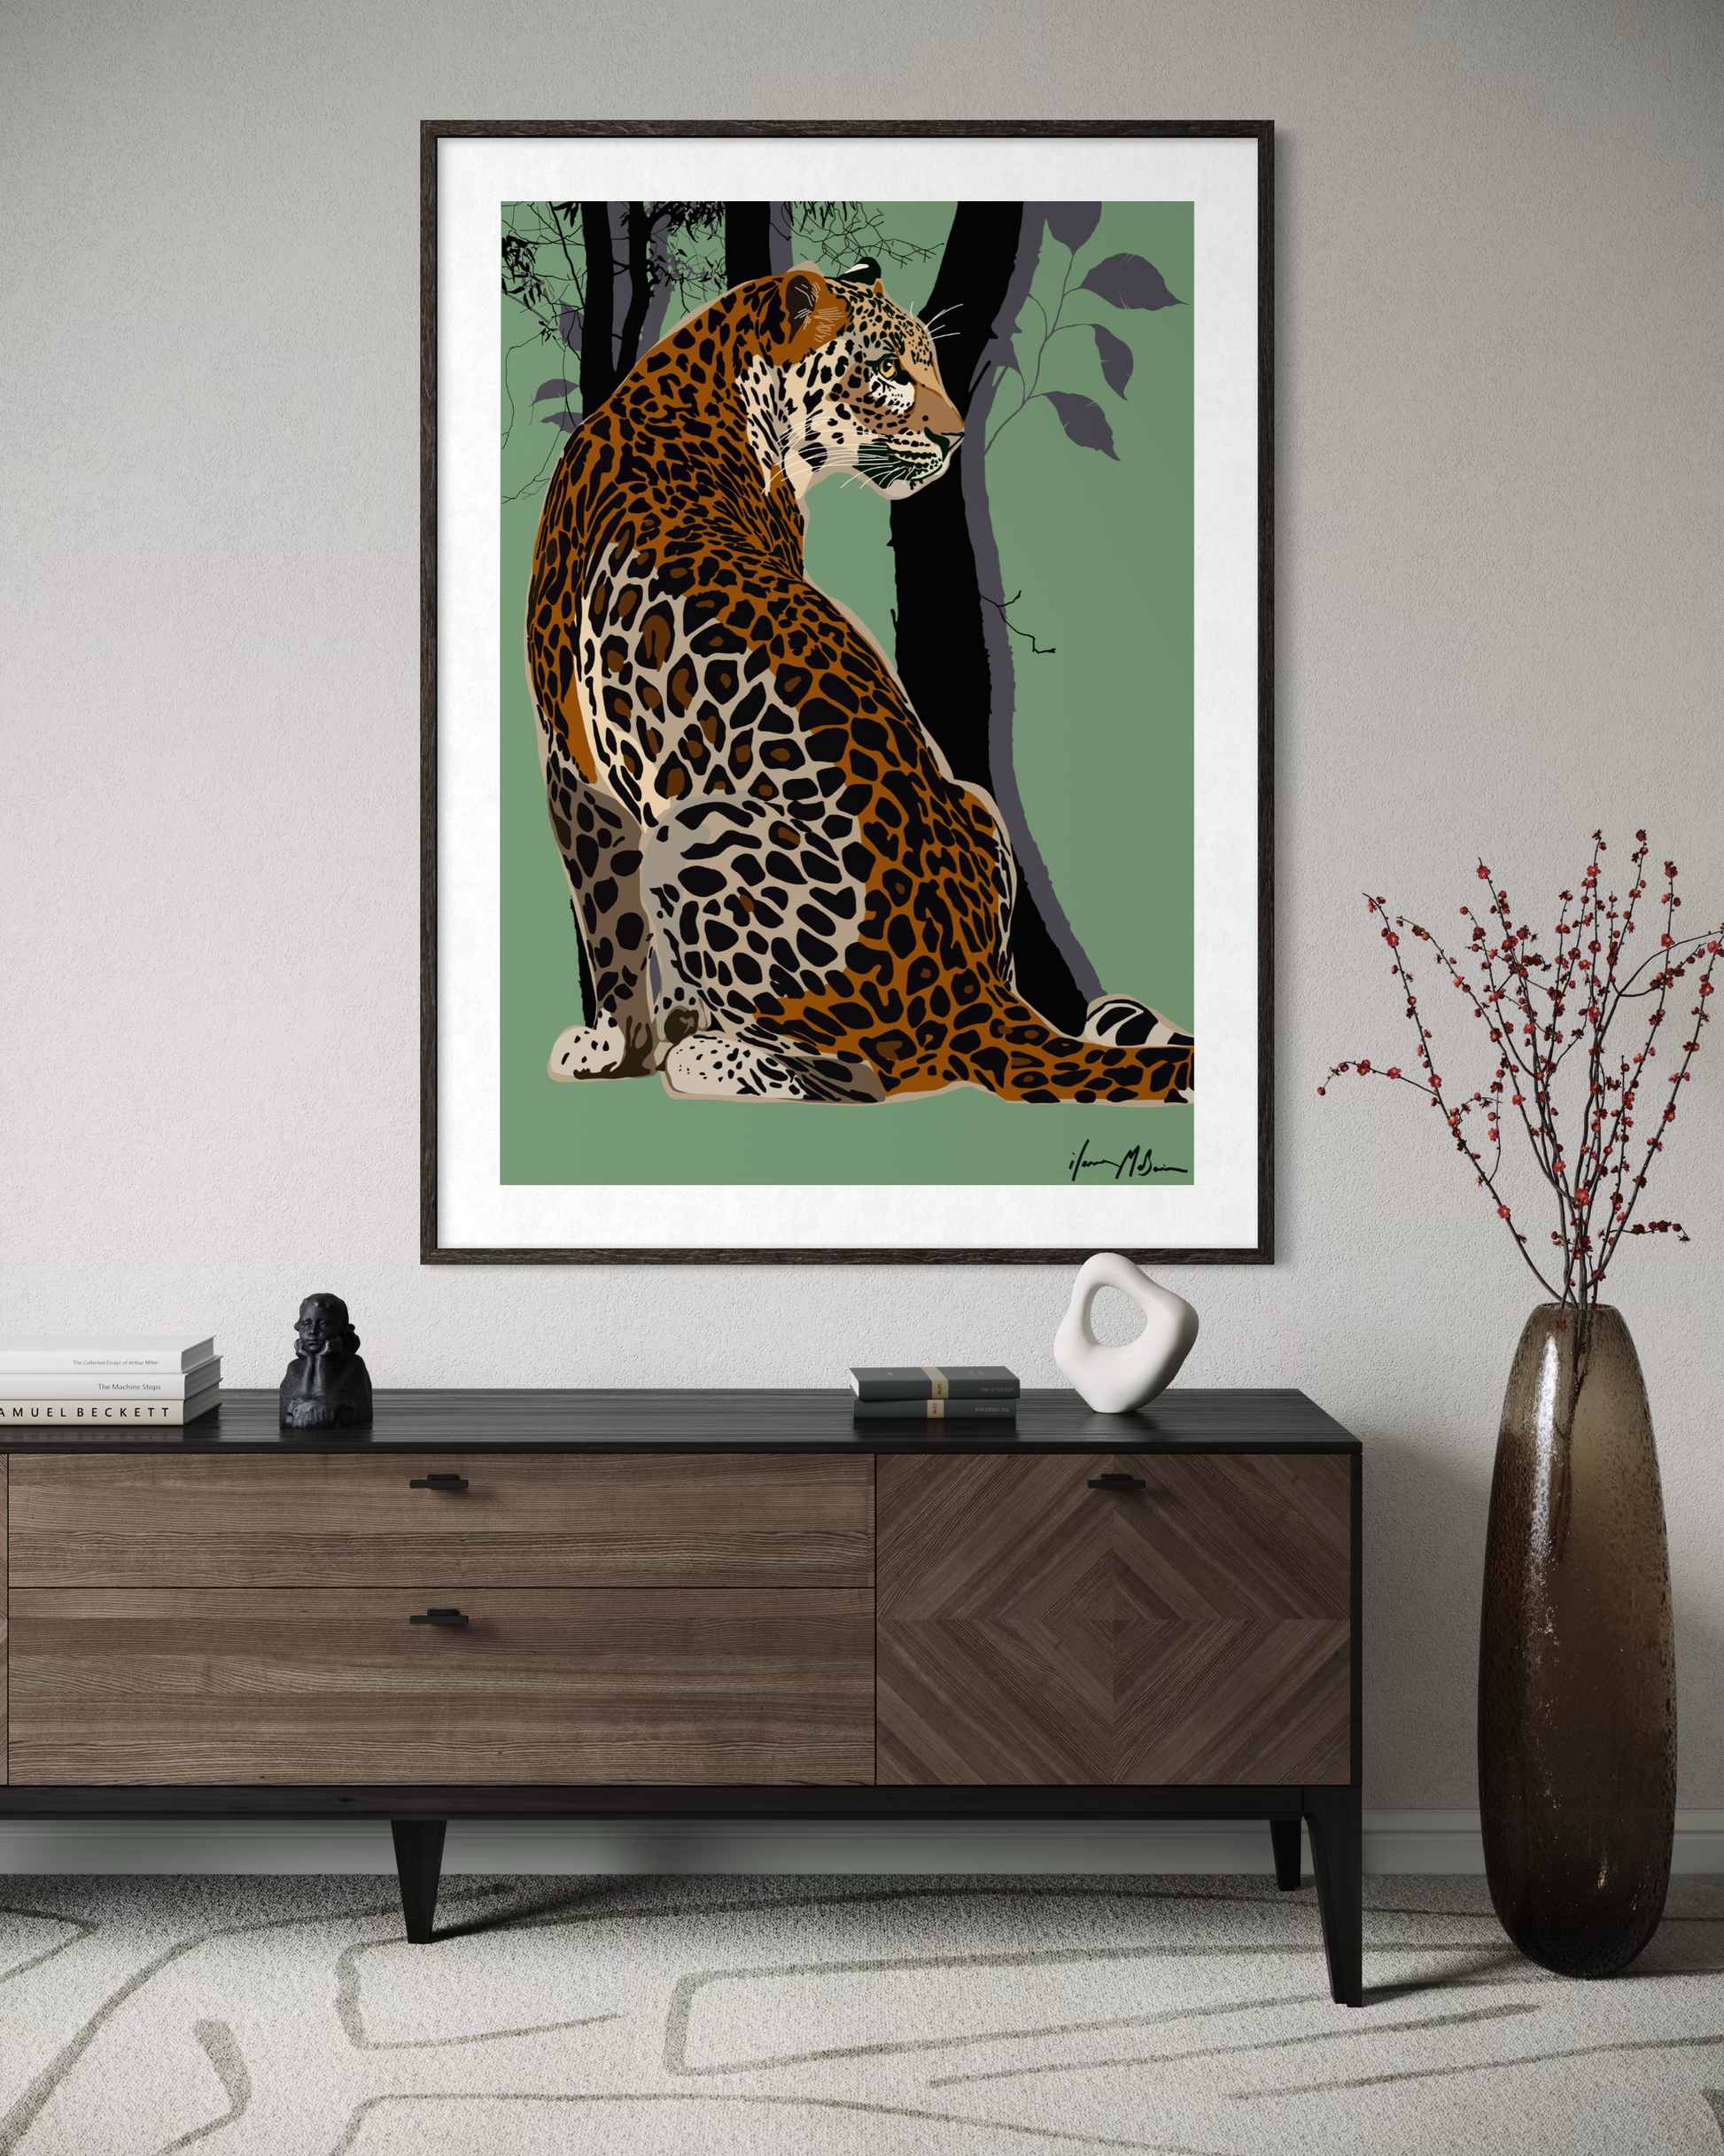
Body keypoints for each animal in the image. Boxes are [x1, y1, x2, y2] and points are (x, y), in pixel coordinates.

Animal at [524, 260, 1195, 1106]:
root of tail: (972, 992)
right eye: (884, 370)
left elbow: (609, 919)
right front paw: (652, 1031)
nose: (957, 436)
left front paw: (618, 1044)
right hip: (978, 802)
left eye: (930, 362)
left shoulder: (573, 764)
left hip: (692, 828)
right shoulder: (580, 764)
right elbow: (619, 923)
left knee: (868, 1076)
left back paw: (708, 1060)